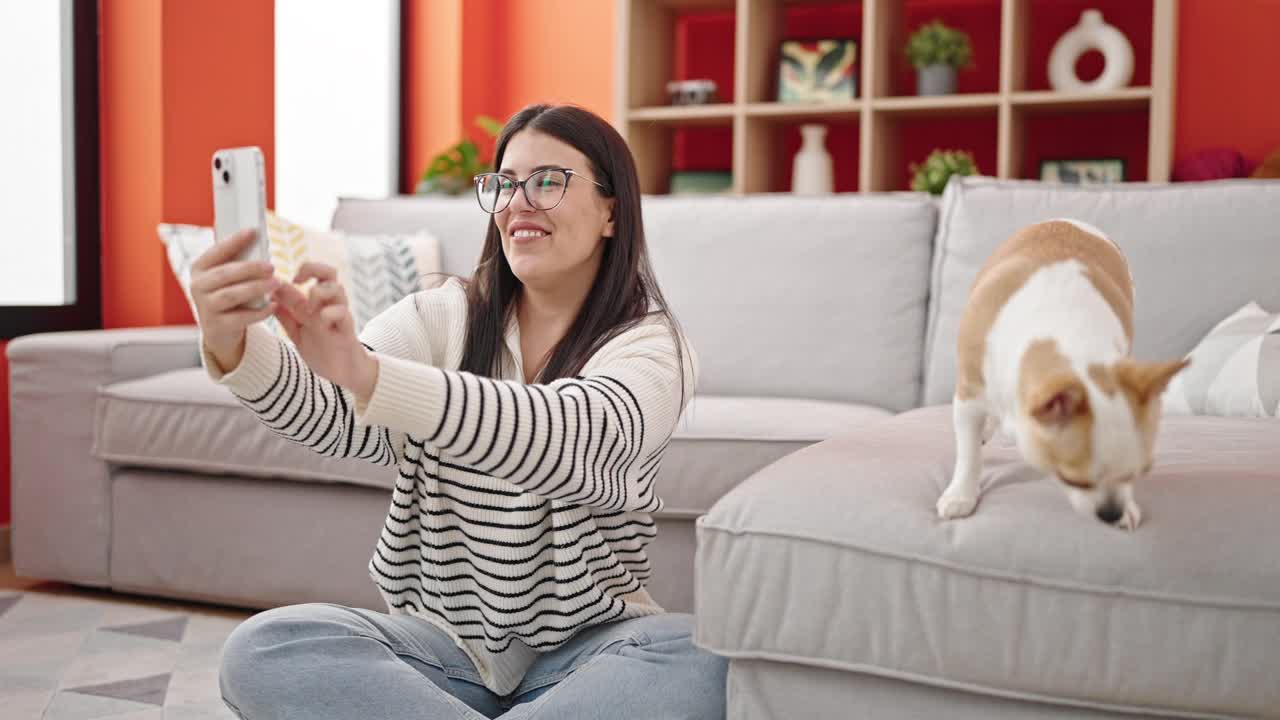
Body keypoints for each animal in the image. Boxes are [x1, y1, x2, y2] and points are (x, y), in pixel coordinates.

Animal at [942, 219, 1187, 527]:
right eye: (1073, 480)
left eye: (1136, 473)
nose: (1111, 513)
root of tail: (1068, 220)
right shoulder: (970, 396)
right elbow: (969, 453)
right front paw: (960, 495)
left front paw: (1129, 508)